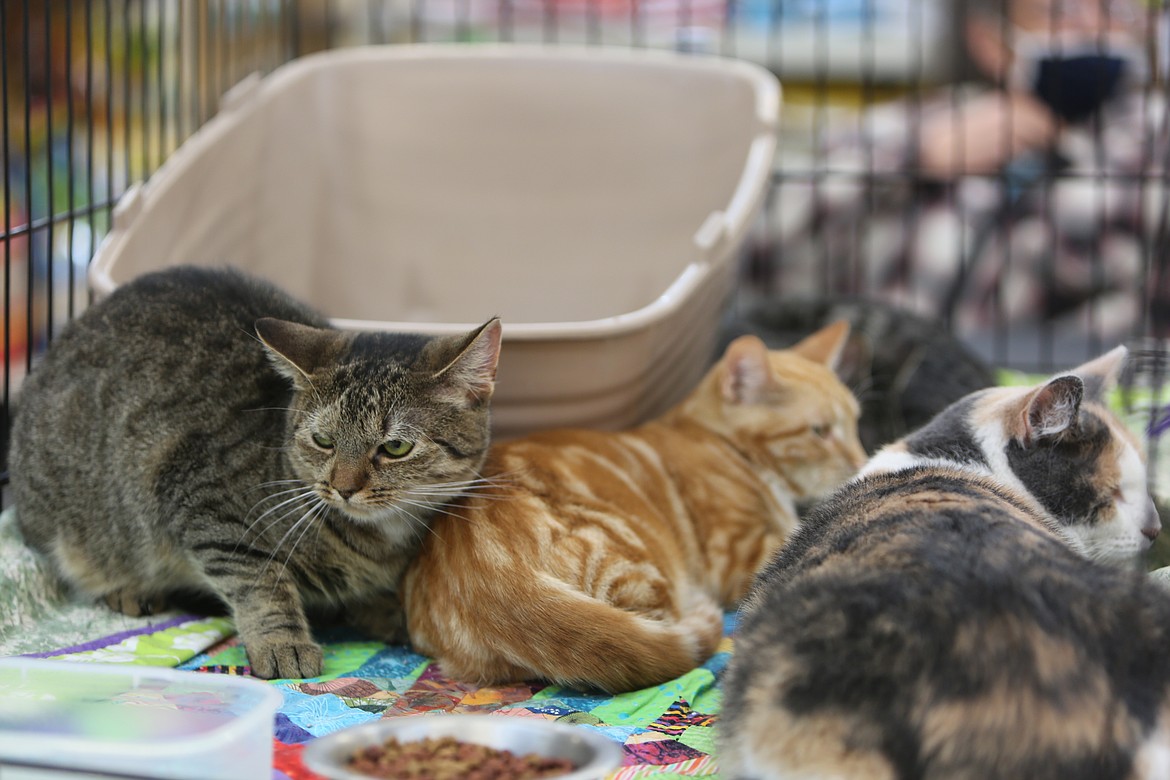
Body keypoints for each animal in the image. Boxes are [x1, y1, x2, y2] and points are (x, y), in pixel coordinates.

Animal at [10, 265, 503, 678]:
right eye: (323, 440)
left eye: (395, 447)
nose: (342, 488)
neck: (382, 540)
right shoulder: (205, 507)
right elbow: (261, 584)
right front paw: (283, 643)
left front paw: (390, 611)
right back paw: (126, 589)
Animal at [402, 320, 870, 692]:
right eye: (820, 431)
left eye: (855, 424)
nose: (861, 462)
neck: (721, 443)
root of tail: (494, 574)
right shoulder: (737, 553)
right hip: (640, 569)